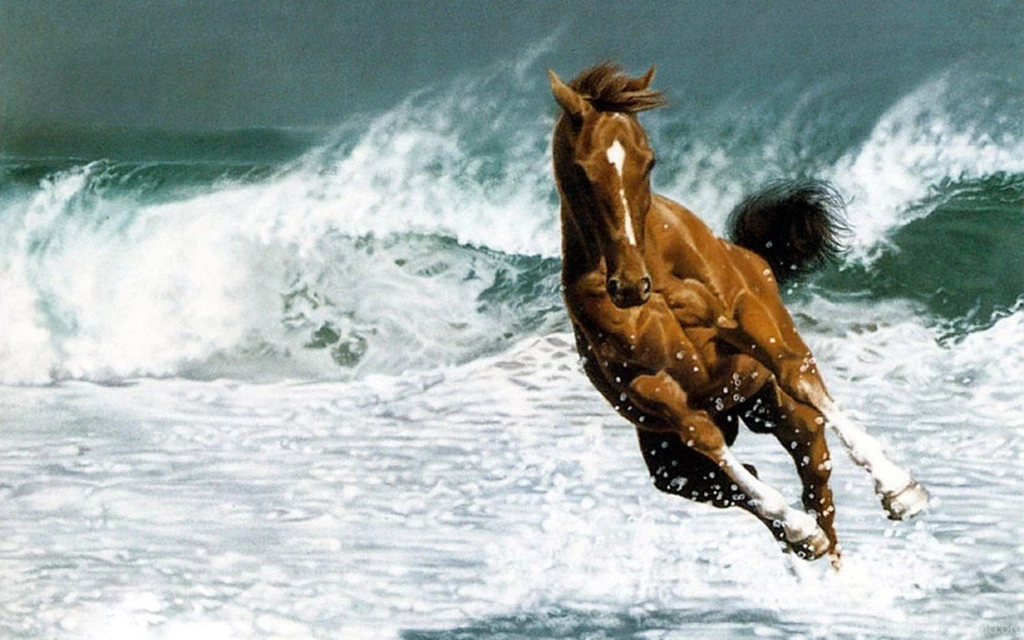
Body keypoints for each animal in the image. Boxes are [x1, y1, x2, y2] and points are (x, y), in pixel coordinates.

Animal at [548, 62, 928, 567]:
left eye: (648, 161)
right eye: (582, 171)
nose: (630, 287)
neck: (655, 264)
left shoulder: (741, 317)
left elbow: (794, 373)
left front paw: (900, 490)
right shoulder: (649, 385)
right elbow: (706, 439)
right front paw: (799, 530)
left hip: (781, 412)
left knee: (816, 477)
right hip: (671, 463)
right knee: (738, 483)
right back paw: (802, 538)